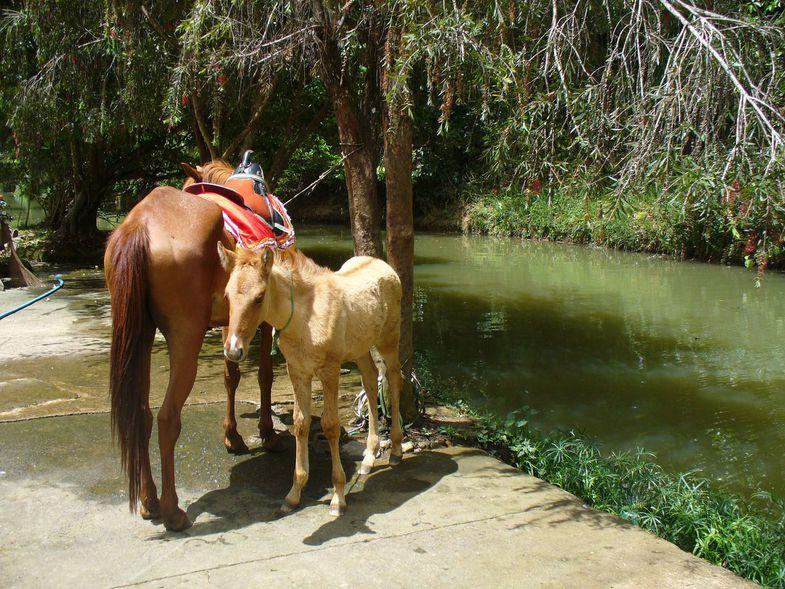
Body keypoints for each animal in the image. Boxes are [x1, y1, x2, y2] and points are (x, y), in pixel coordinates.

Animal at [105, 158, 284, 532]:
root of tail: (139, 226)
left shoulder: (232, 321)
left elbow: (232, 376)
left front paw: (233, 436)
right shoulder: (261, 318)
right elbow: (264, 375)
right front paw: (267, 433)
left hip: (140, 335)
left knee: (141, 415)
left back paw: (149, 501)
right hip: (185, 340)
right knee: (167, 418)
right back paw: (173, 511)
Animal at [219, 245, 404, 516]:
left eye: (259, 297)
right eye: (227, 296)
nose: (233, 351)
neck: (303, 319)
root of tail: (384, 265)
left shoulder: (329, 370)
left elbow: (330, 426)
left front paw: (338, 497)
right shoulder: (297, 371)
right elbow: (300, 424)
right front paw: (294, 494)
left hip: (389, 342)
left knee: (394, 379)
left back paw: (396, 451)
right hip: (360, 348)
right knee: (371, 380)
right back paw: (369, 457)